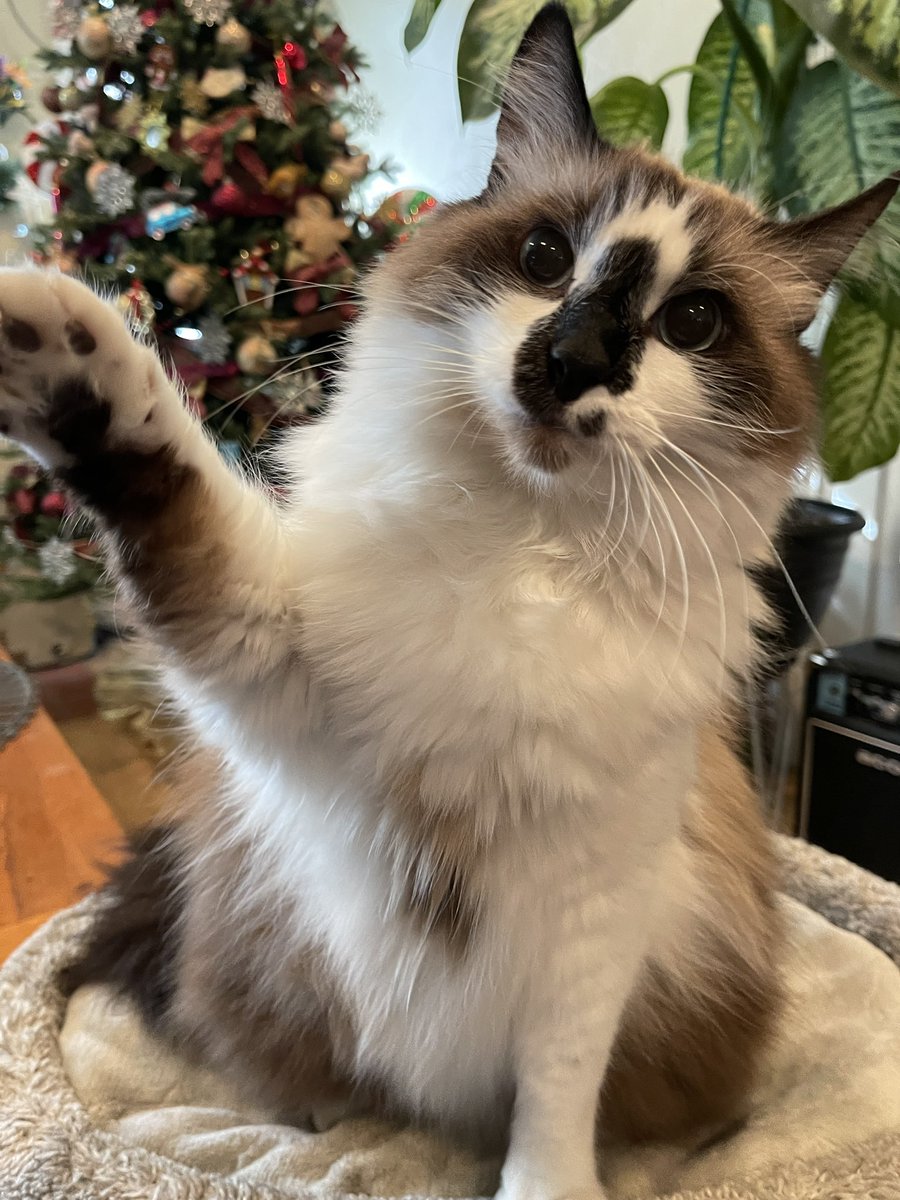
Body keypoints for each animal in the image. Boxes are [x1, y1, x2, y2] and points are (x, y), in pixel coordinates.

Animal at [0, 4, 897, 1195]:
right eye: (544, 258)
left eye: (693, 323)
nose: (571, 358)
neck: (525, 555)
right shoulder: (272, 665)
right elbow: (165, 478)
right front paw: (55, 346)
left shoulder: (594, 913)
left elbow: (556, 1099)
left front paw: (546, 1186)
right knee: (287, 1080)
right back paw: (323, 1120)